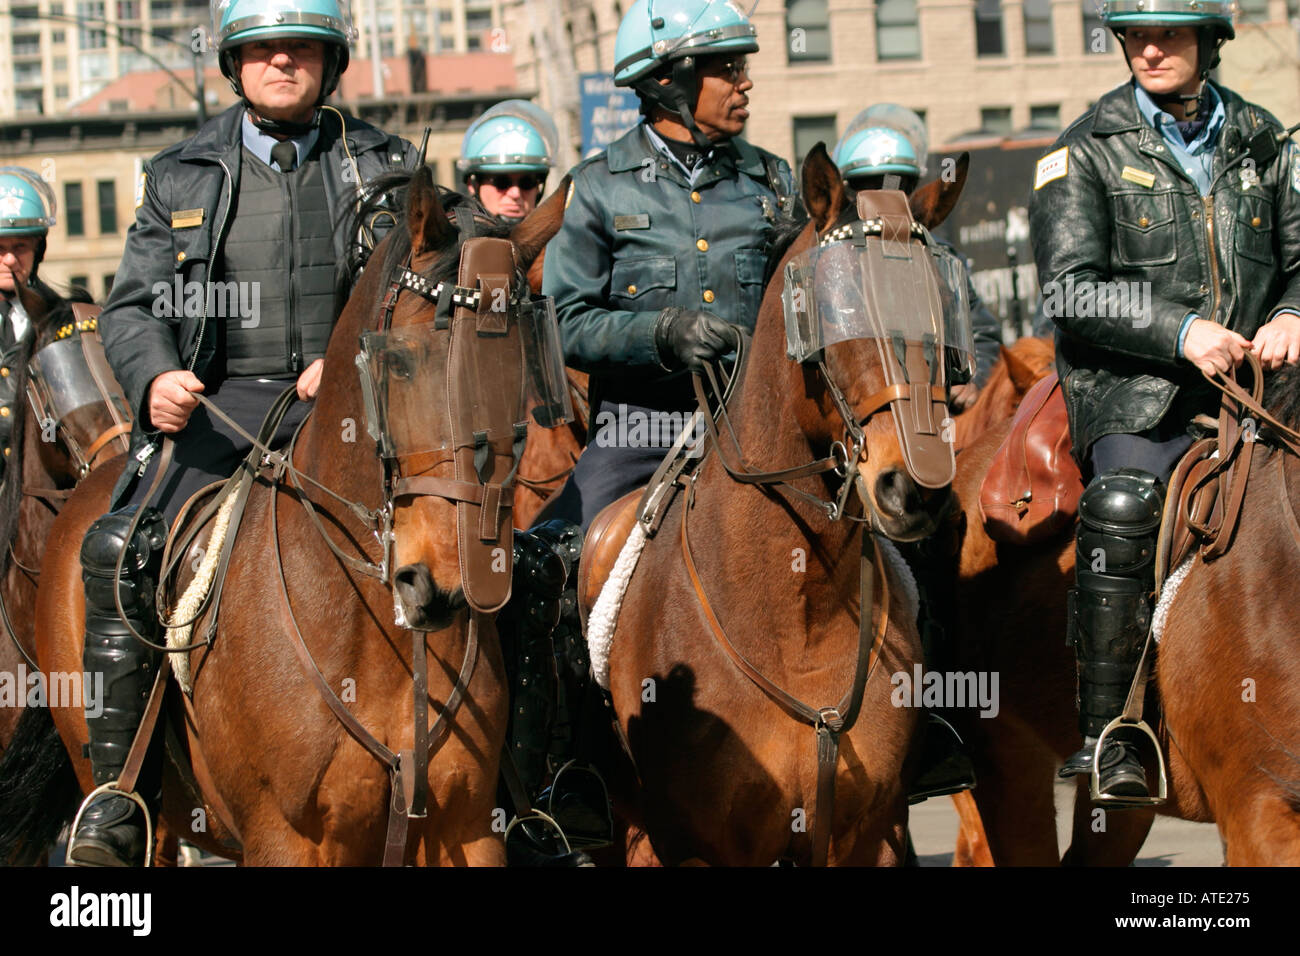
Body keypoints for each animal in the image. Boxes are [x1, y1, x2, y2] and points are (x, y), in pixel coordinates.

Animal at [603, 143, 972, 868]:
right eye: (837, 309)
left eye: (943, 311)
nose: (914, 487)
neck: (795, 614)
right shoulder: (702, 846)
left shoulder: (868, 834)